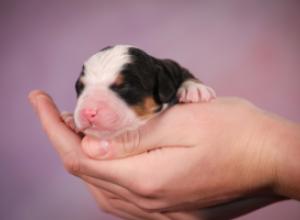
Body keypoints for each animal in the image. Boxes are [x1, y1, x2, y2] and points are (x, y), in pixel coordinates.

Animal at [61, 44, 216, 138]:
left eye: (125, 86)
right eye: (80, 87)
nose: (88, 112)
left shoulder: (172, 66)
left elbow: (184, 72)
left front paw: (195, 88)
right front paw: (70, 118)